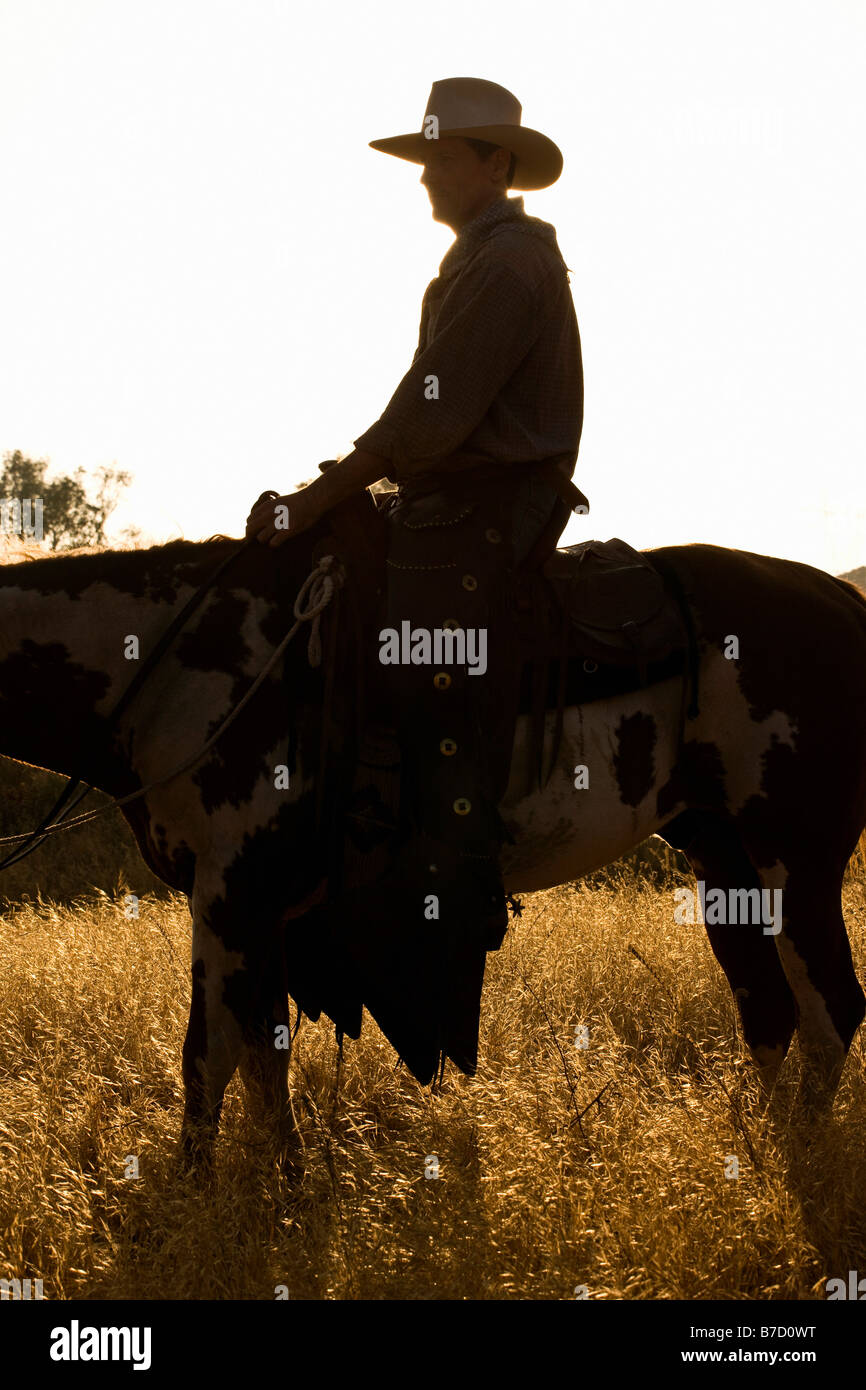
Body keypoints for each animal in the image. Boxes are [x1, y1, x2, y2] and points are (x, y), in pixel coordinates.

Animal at [0, 522, 861, 1173]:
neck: (183, 669)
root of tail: (841, 600)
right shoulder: (248, 909)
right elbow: (247, 1059)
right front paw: (255, 1190)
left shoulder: (235, 895)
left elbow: (222, 1058)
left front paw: (225, 1200)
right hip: (723, 861)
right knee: (769, 1011)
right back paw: (755, 1147)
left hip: (797, 860)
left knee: (831, 1009)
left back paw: (802, 1164)